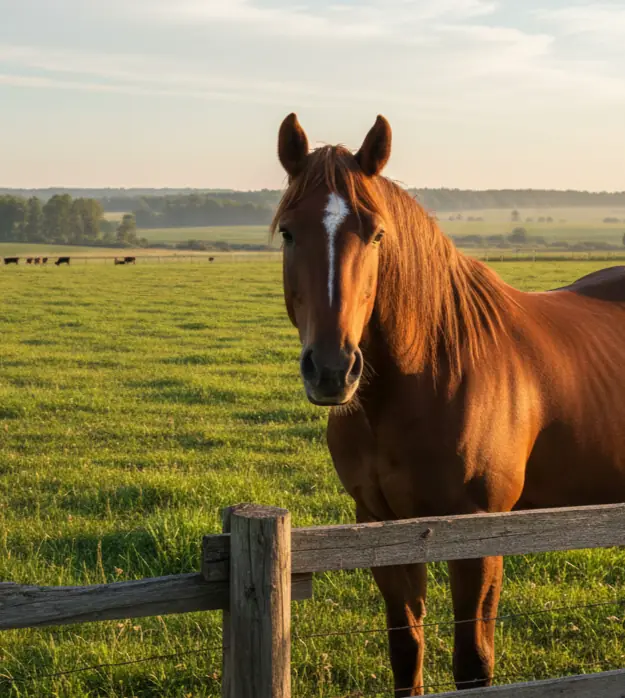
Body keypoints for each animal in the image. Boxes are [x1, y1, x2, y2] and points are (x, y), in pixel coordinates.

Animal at [273, 113, 625, 695]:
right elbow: (406, 651)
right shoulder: (383, 527)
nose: (331, 368)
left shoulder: (477, 535)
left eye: (376, 233)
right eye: (287, 231)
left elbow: (473, 664)